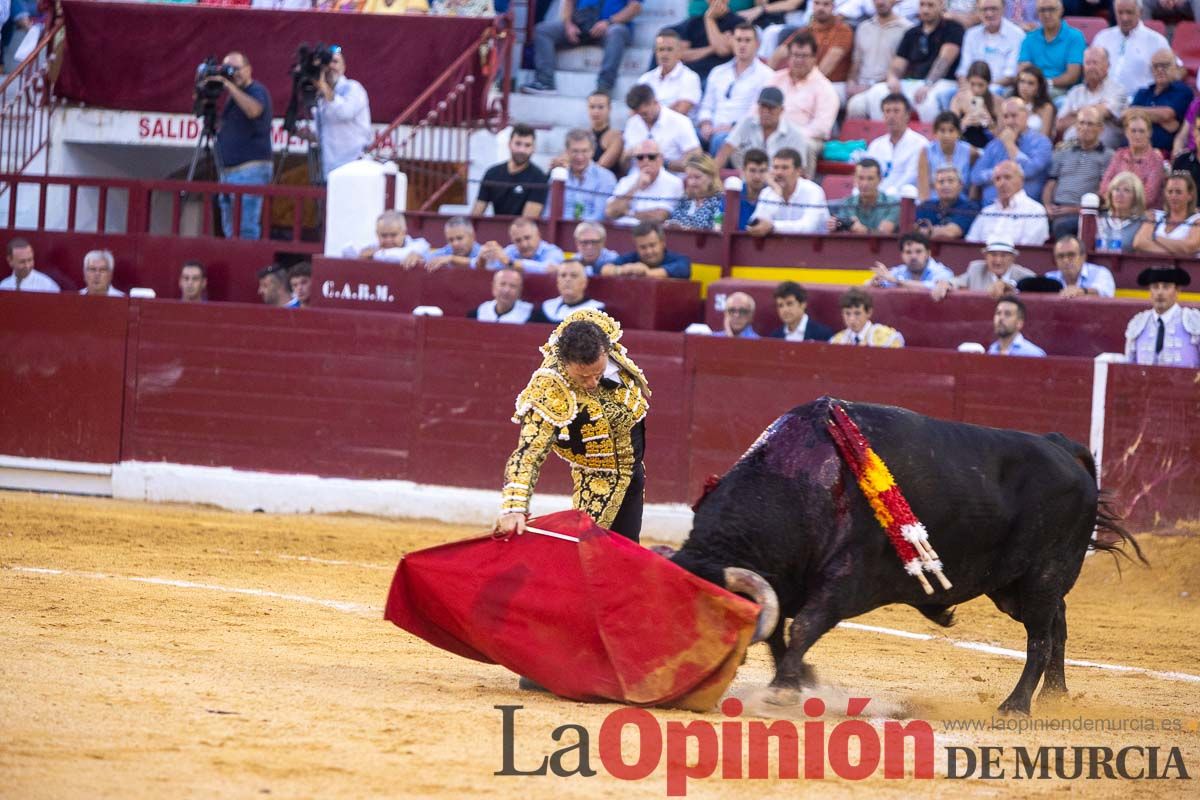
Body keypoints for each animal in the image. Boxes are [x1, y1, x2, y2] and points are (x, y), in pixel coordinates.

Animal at [672, 398, 1147, 714]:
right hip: (1015, 587)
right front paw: (800, 678)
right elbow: (776, 633)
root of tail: (1062, 447)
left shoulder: (845, 582)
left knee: (1040, 638)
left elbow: (804, 624)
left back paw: (1015, 705)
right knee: (1057, 623)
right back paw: (1054, 695)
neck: (798, 484)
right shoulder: (783, 583)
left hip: (1041, 577)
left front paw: (783, 689)